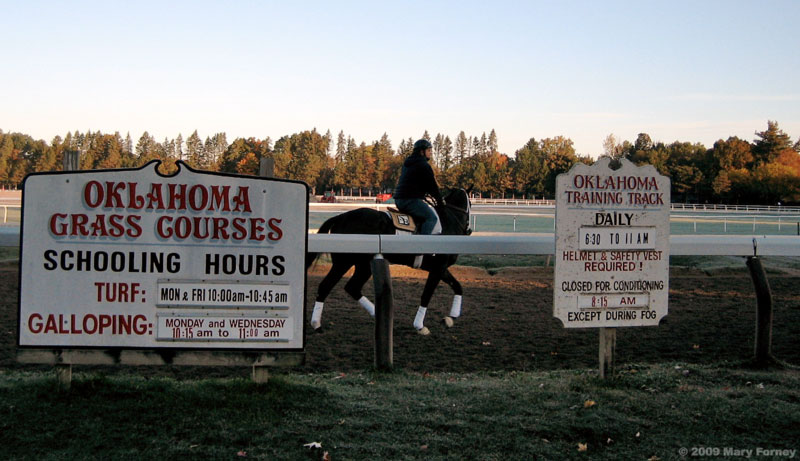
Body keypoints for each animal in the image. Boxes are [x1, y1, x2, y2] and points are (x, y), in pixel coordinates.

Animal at [304, 187, 468, 334]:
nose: (468, 229)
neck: (448, 222)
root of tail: (341, 217)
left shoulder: (441, 268)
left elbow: (457, 286)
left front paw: (451, 317)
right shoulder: (438, 267)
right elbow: (427, 294)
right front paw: (420, 326)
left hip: (363, 265)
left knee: (352, 287)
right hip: (343, 263)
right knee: (326, 286)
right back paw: (317, 324)